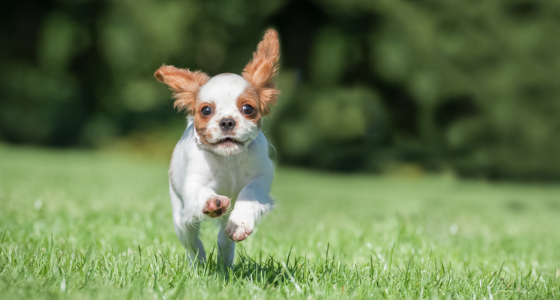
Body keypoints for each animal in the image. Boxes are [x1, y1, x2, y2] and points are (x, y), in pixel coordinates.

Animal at [154, 29, 278, 266]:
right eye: (206, 110)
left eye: (247, 108)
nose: (227, 121)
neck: (229, 158)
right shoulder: (193, 183)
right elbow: (201, 191)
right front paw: (213, 202)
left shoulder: (261, 178)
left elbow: (249, 192)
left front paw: (241, 223)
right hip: (181, 220)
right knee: (193, 244)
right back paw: (199, 264)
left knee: (224, 239)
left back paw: (225, 260)